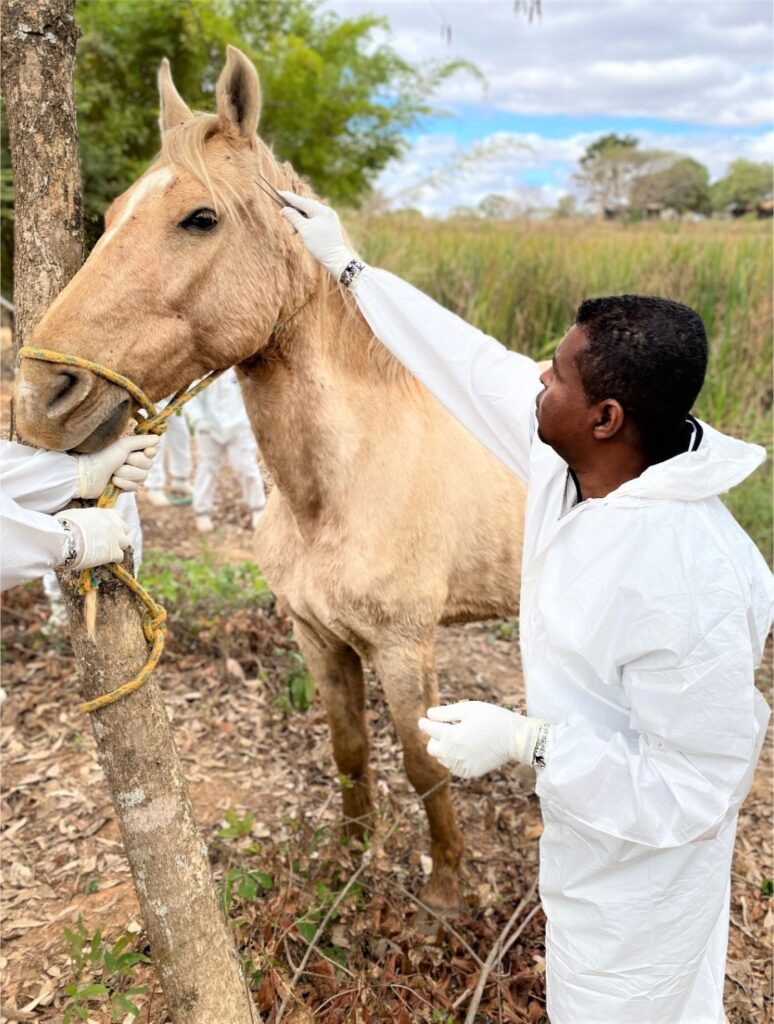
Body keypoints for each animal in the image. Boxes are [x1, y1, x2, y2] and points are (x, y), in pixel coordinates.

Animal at [16, 46, 524, 913]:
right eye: (110, 215)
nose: (40, 398)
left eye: (200, 218)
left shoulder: (405, 648)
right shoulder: (317, 637)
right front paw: (351, 861)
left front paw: (446, 897)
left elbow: (425, 767)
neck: (336, 493)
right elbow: (350, 749)